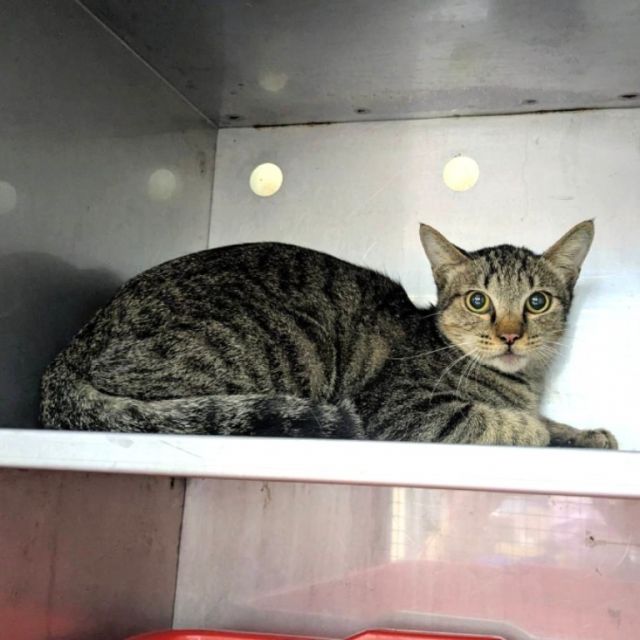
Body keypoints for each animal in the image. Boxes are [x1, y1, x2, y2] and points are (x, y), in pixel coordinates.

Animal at [40, 220, 617, 448]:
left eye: (537, 302)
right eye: (479, 301)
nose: (511, 335)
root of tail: (68, 353)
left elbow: (549, 422)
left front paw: (585, 433)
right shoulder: (402, 410)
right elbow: (498, 421)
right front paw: (537, 428)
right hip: (288, 341)